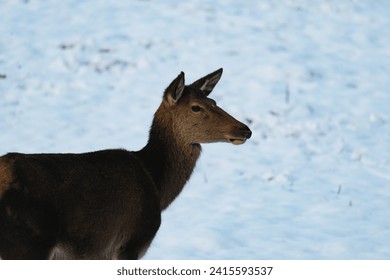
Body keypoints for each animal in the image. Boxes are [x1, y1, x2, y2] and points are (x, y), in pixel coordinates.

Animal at [0, 68, 250, 260]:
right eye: (196, 107)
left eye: (214, 101)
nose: (245, 129)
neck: (157, 185)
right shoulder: (130, 243)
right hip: (27, 245)